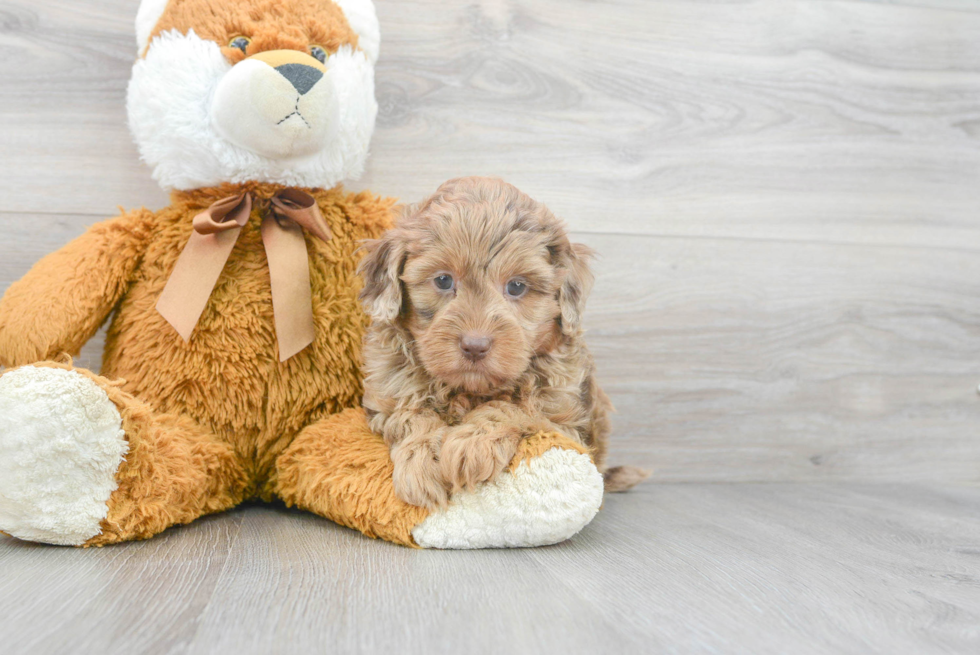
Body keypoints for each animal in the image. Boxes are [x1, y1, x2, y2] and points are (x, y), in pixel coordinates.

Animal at [358, 177, 644, 510]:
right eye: (443, 280)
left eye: (517, 286)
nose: (475, 345)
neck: (470, 390)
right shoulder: (388, 391)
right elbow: (409, 413)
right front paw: (422, 461)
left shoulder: (565, 418)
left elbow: (514, 407)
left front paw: (472, 442)